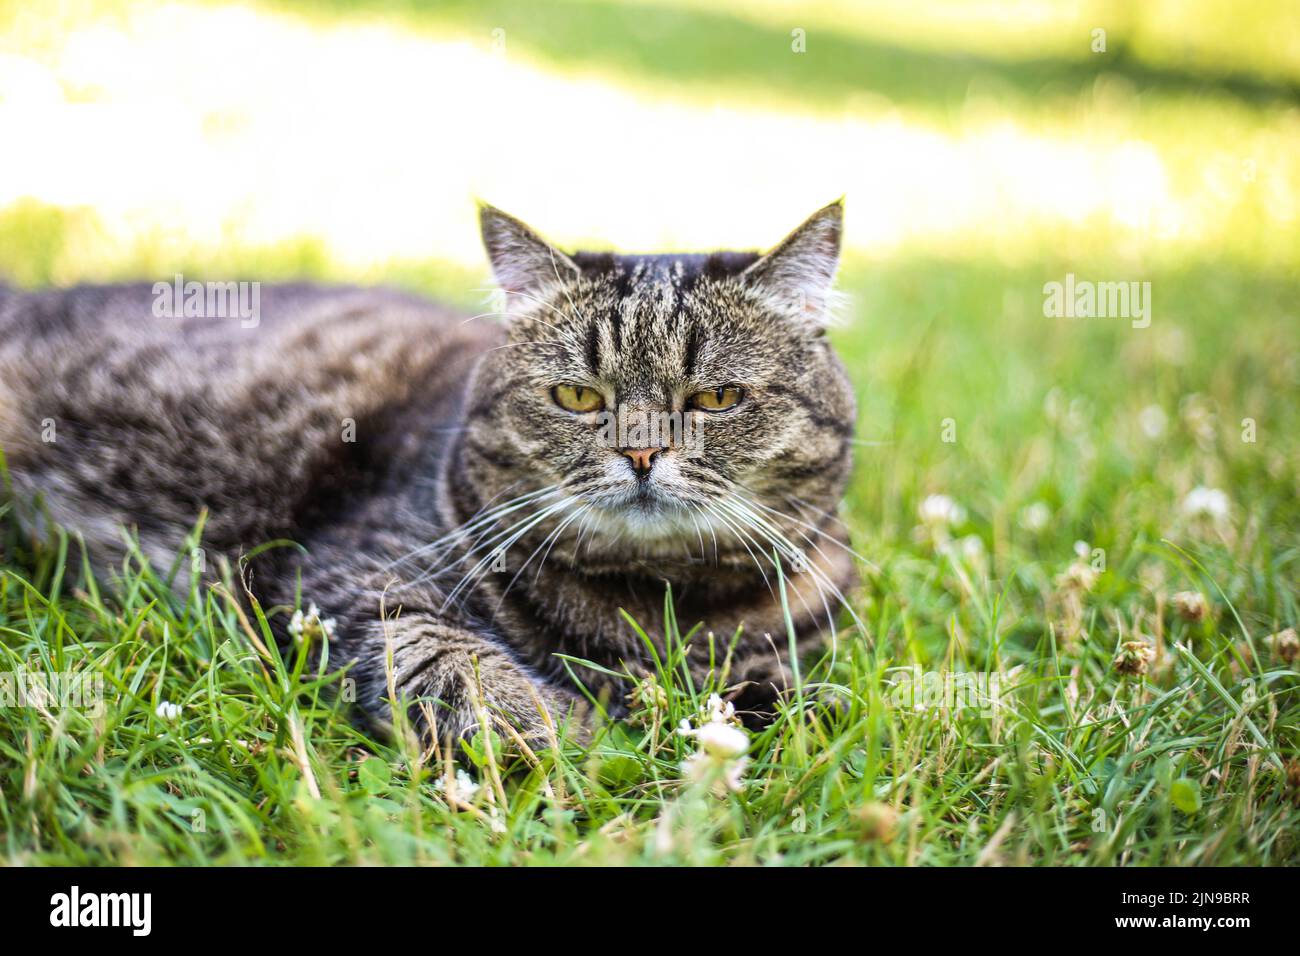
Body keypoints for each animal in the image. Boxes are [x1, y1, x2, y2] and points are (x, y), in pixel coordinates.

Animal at [0, 204, 857, 749]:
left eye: (716, 398)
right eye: (579, 397)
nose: (641, 453)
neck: (657, 607)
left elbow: (816, 695)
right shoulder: (350, 580)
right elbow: (463, 666)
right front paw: (593, 732)